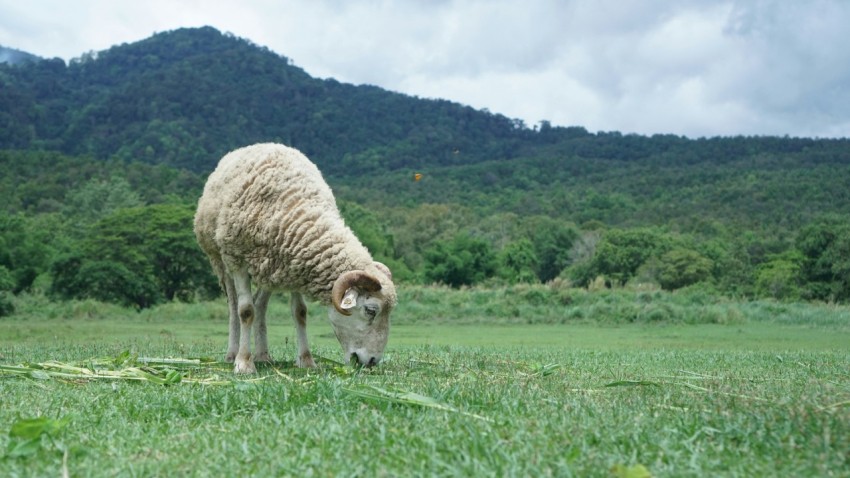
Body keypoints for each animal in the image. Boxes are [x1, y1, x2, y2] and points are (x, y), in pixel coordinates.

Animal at [194, 142, 396, 374]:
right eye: (371, 310)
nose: (371, 361)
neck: (294, 207)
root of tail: (262, 144)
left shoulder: (296, 265)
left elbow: (299, 312)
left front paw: (306, 359)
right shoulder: (237, 260)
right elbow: (245, 311)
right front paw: (244, 363)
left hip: (268, 269)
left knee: (260, 305)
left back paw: (263, 355)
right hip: (220, 259)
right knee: (234, 305)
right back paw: (232, 353)